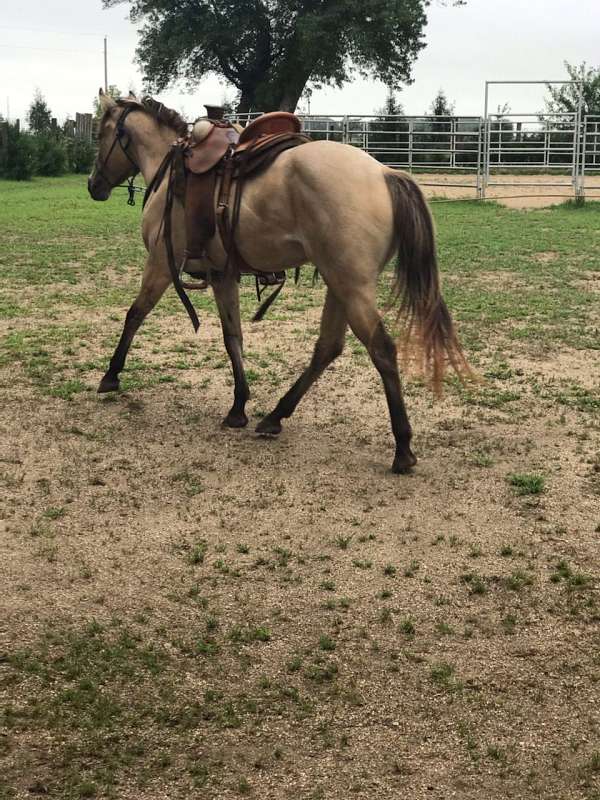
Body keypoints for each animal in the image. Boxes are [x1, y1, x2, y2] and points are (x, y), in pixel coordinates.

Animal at [88, 90, 468, 472]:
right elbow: (233, 337)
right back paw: (275, 416)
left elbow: (135, 314)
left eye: (100, 134)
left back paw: (402, 447)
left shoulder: (160, 265)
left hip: (352, 287)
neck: (171, 172)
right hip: (340, 284)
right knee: (328, 347)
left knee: (382, 350)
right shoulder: (223, 276)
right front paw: (238, 406)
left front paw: (111, 375)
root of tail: (385, 173)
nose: (94, 186)